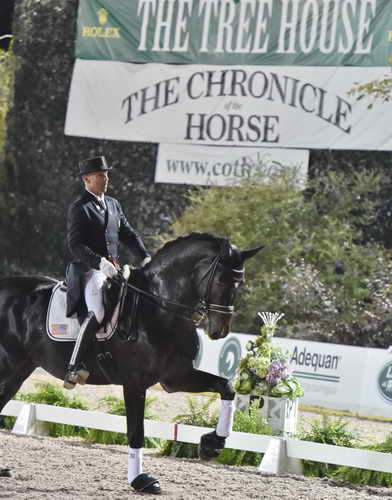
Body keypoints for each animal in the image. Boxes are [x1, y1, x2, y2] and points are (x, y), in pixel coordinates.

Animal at [0, 233, 264, 492]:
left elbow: (226, 387)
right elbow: (136, 431)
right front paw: (141, 480)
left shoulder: (175, 377)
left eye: (239, 283)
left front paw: (212, 444)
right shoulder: (135, 383)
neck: (159, 308)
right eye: (220, 280)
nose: (220, 331)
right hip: (9, 366)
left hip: (19, 371)